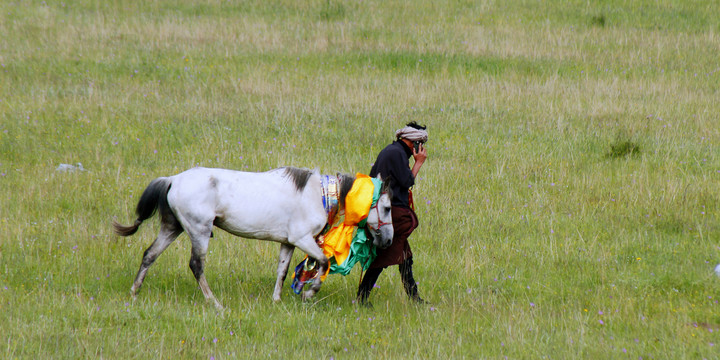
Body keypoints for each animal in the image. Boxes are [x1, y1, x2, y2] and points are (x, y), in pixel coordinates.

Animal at [112, 167, 394, 310]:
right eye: (388, 207)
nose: (389, 241)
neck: (319, 194)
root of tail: (173, 180)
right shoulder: (302, 239)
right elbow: (323, 263)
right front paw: (309, 293)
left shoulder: (287, 242)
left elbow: (282, 271)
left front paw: (277, 300)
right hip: (199, 231)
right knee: (196, 265)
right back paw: (214, 303)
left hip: (173, 228)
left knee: (149, 254)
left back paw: (134, 292)